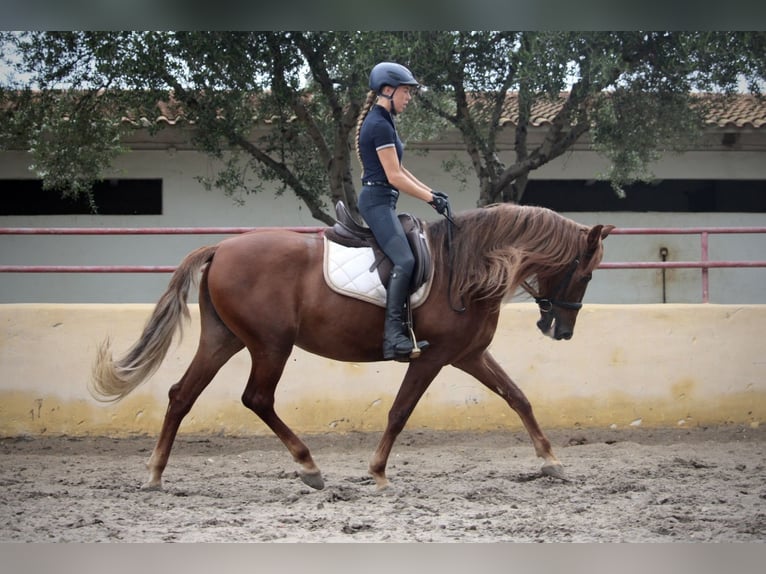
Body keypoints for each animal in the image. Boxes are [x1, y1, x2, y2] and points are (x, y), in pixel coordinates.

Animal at [91, 205, 616, 492]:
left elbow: (517, 397)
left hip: (224, 339)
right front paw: (378, 472)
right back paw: (309, 467)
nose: (561, 331)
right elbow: (400, 412)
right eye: (586, 272)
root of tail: (221, 248)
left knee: (182, 395)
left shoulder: (468, 355)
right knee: (257, 398)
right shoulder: (434, 357)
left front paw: (551, 461)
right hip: (270, 345)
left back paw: (155, 475)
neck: (465, 269)